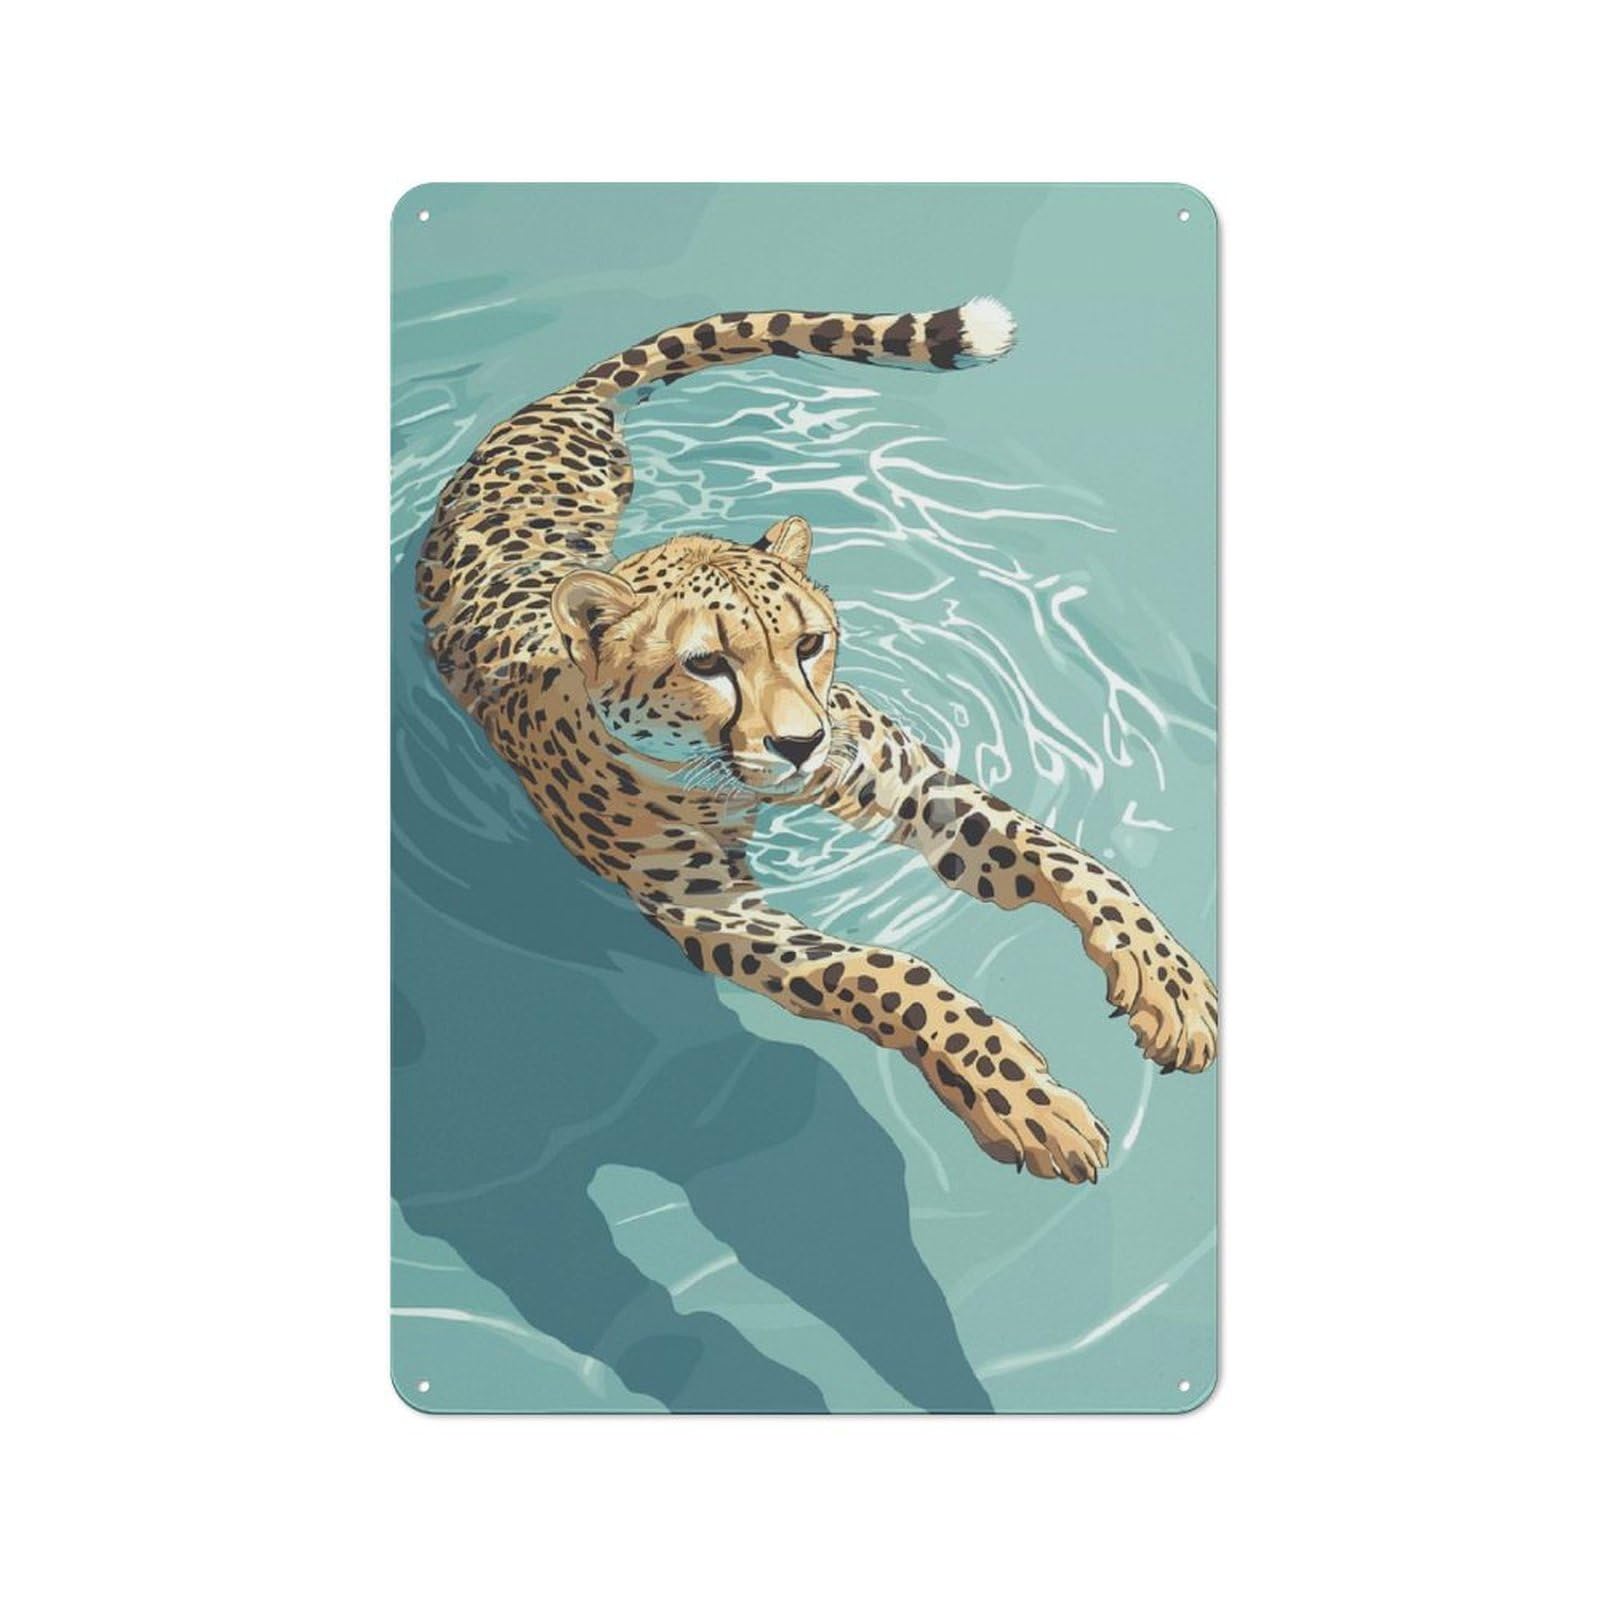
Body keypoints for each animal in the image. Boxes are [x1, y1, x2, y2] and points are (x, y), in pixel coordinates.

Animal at [416, 295, 1217, 1184]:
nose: (801, 744)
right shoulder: (712, 910)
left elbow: (1064, 857)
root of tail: (556, 401)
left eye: (809, 643)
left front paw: (1169, 983)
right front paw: (1021, 1099)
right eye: (706, 663)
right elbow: (887, 972)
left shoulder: (916, 789)